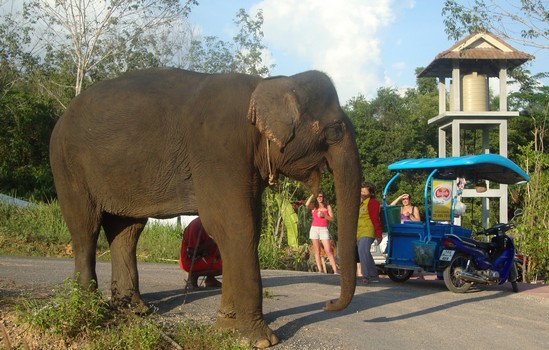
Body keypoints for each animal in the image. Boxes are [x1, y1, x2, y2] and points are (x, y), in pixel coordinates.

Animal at [49, 67, 362, 348]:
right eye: (335, 130)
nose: (329, 303)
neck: (270, 83)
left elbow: (244, 223)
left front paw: (226, 328)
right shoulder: (219, 148)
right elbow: (234, 225)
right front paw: (262, 340)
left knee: (127, 231)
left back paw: (134, 309)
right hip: (67, 165)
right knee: (85, 229)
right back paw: (89, 307)